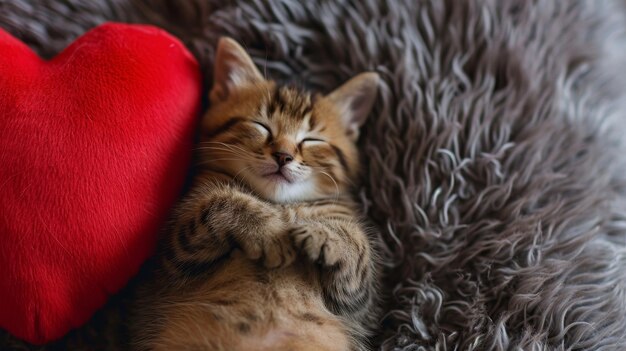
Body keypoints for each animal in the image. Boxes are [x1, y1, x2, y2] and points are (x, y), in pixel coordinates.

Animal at [133, 37, 380, 351]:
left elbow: (356, 246)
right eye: (261, 126)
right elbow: (222, 201)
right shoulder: (173, 256)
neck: (279, 203)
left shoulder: (356, 303)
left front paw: (323, 234)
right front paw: (269, 231)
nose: (283, 156)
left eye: (311, 140)